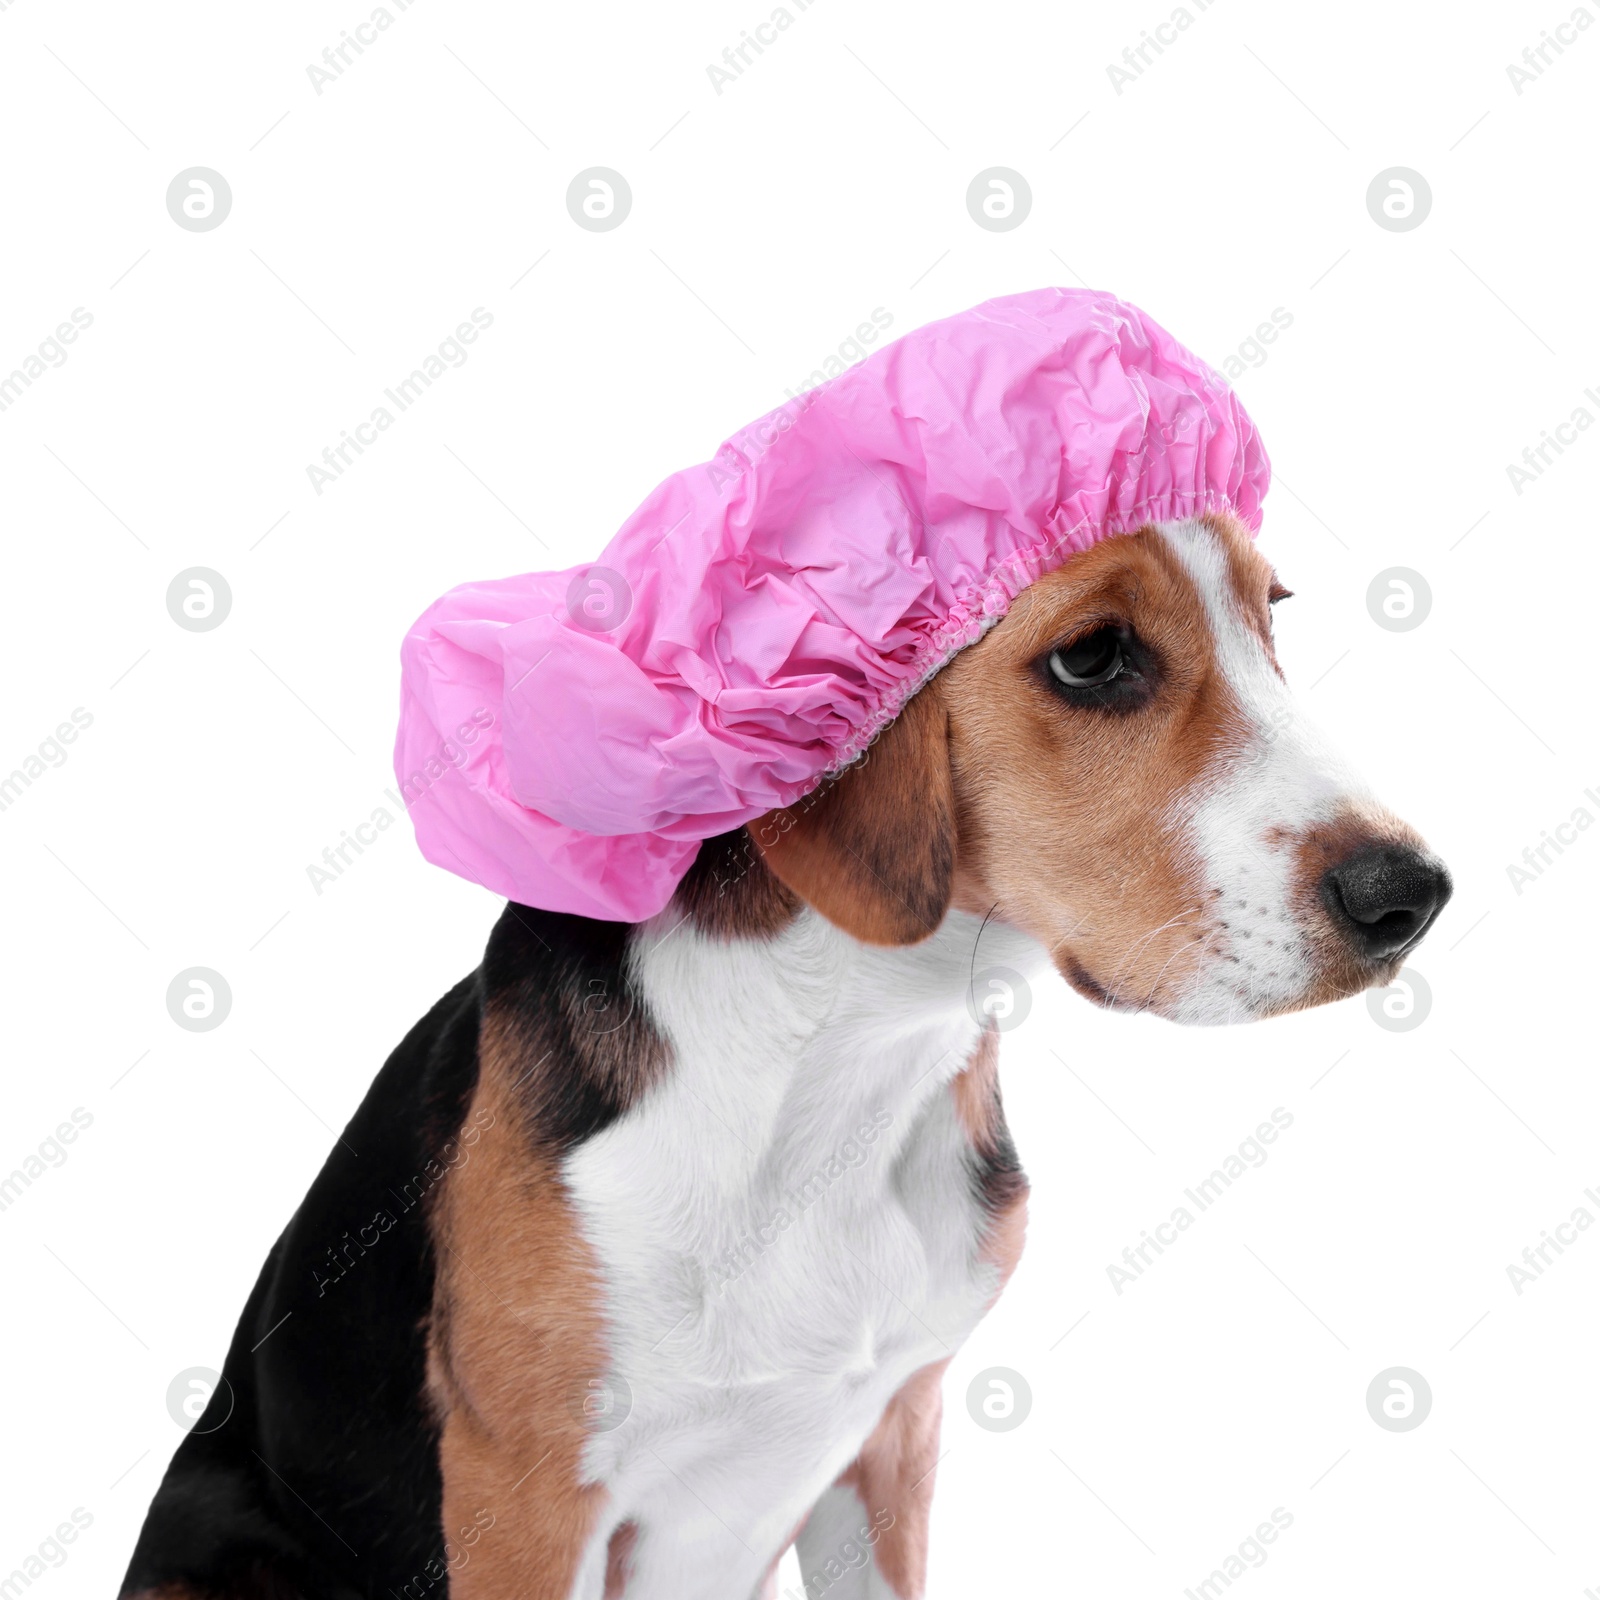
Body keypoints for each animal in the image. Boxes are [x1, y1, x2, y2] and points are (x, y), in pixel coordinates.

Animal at [121, 512, 1452, 1600]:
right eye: (1092, 657)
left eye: (1272, 612)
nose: (1410, 895)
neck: (839, 1050)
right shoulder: (525, 1501)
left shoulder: (890, 1443)